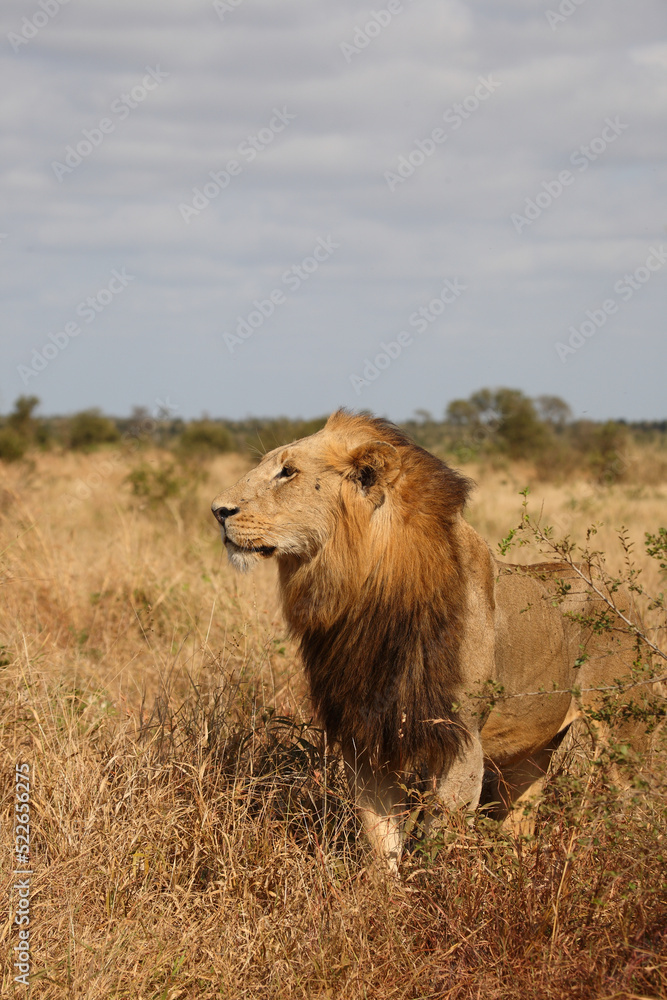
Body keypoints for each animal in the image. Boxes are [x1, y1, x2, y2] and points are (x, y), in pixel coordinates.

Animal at [211, 410, 656, 869]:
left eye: (288, 472)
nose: (217, 511)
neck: (365, 593)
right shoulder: (367, 737)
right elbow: (380, 838)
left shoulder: (461, 738)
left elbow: (438, 837)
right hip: (532, 752)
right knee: (522, 816)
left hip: (623, 733)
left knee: (634, 800)